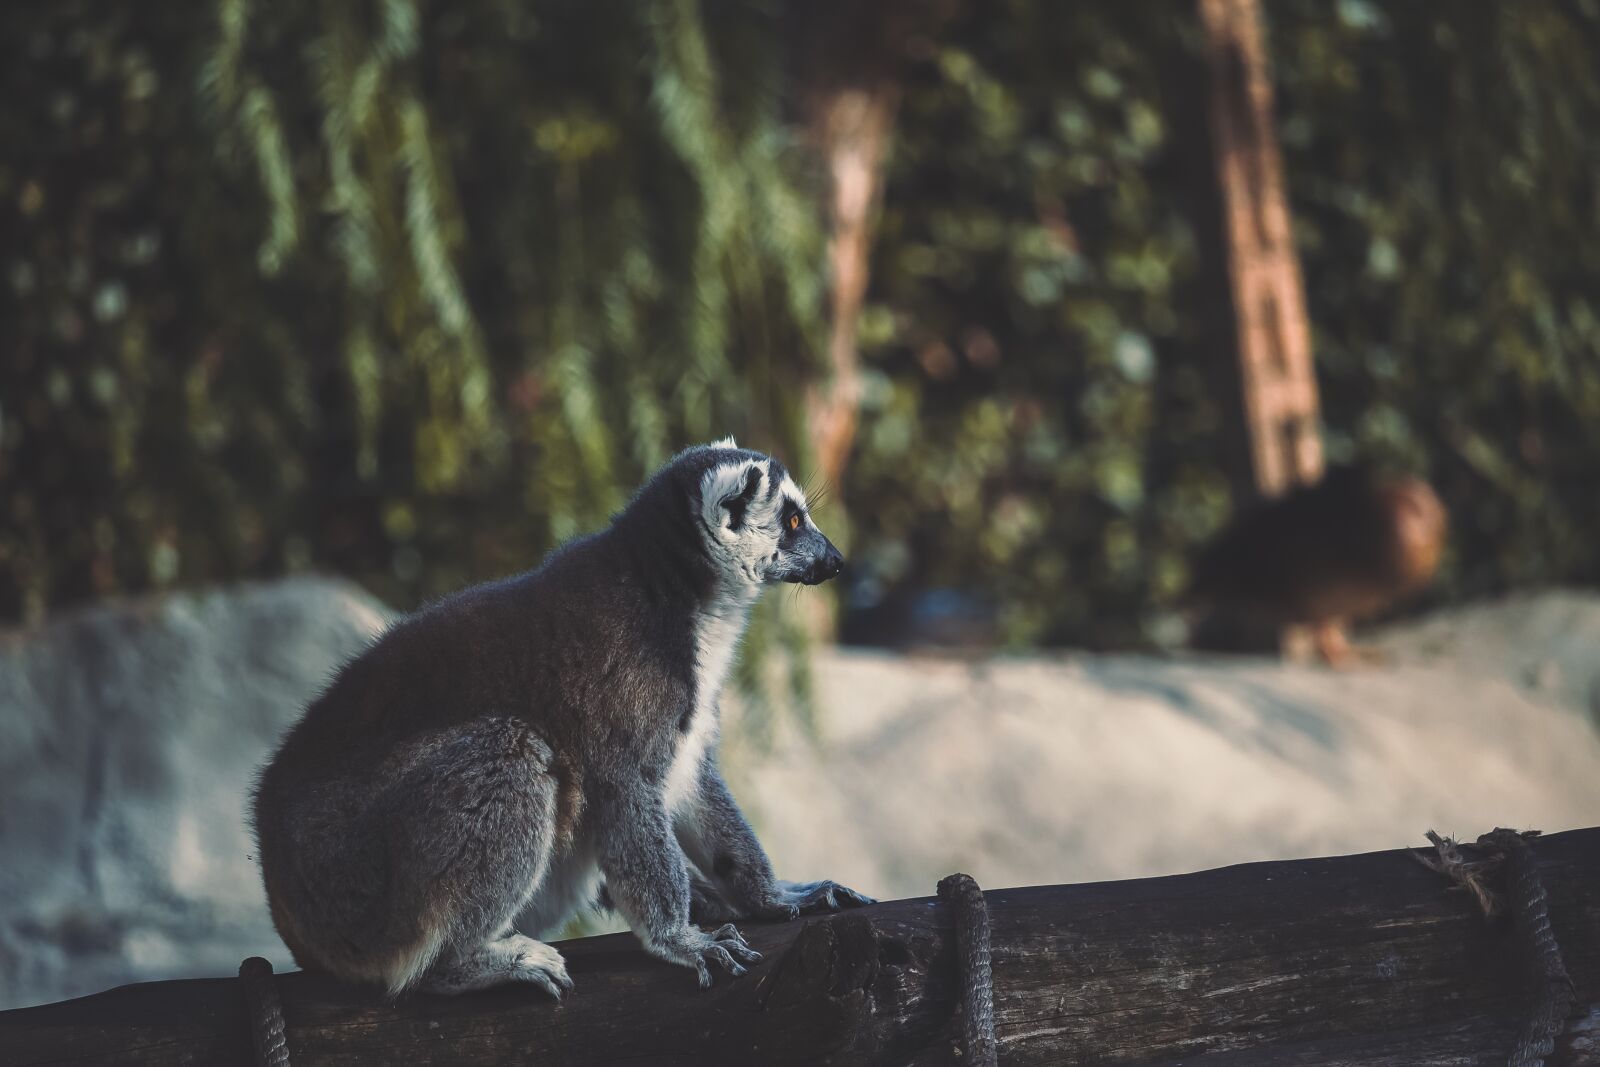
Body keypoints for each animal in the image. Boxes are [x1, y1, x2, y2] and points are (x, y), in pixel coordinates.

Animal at [251, 440, 873, 998]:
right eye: (792, 520)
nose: (837, 561)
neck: (684, 600)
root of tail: (290, 910)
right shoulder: (626, 692)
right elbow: (625, 791)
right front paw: (680, 940)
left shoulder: (686, 714)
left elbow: (694, 784)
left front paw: (771, 897)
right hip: (360, 883)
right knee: (511, 754)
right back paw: (463, 965)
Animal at [1185, 463, 1448, 666]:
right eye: (1410, 506)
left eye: (1419, 508)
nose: (1415, 536)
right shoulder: (1318, 595)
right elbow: (1321, 629)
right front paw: (1338, 658)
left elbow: (1329, 627)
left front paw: (1349, 652)